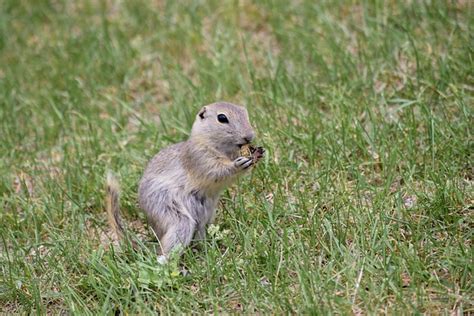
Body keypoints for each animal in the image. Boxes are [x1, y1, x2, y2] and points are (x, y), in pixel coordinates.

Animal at [105, 102, 264, 258]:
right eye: (222, 118)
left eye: (245, 113)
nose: (249, 136)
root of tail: (157, 235)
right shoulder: (200, 158)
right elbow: (218, 172)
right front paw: (238, 164)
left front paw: (259, 152)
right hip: (171, 212)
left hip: (205, 217)